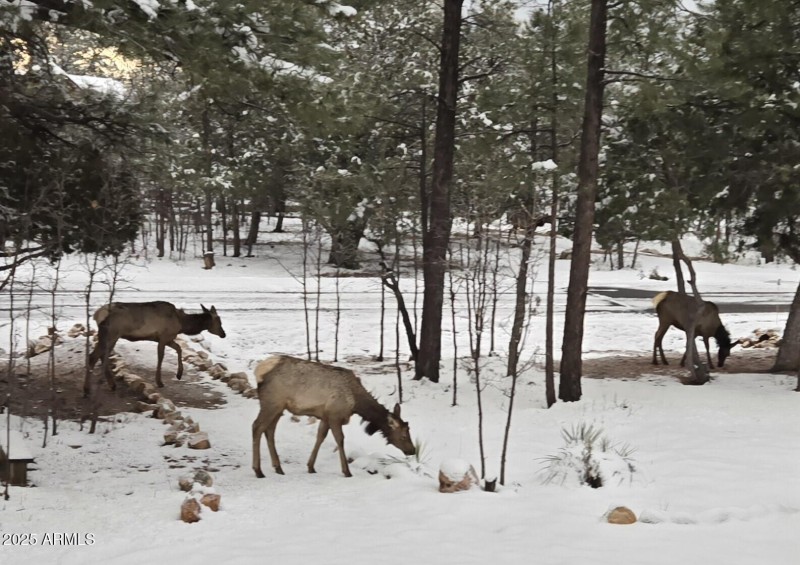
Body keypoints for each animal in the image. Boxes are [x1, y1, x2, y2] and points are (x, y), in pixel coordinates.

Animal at [87, 301, 226, 396]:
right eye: (219, 320)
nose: (223, 334)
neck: (182, 324)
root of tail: (97, 315)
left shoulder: (166, 338)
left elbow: (179, 348)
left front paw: (179, 374)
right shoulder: (164, 337)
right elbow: (161, 356)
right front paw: (159, 381)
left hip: (108, 335)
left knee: (98, 355)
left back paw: (103, 385)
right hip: (112, 334)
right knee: (94, 356)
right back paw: (93, 388)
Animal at [252, 355, 416, 478]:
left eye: (409, 431)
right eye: (403, 436)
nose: (413, 450)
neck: (356, 403)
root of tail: (258, 371)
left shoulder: (325, 416)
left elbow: (320, 437)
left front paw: (311, 466)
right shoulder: (335, 415)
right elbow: (340, 440)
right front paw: (346, 471)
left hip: (278, 407)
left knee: (269, 430)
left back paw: (278, 467)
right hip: (272, 402)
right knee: (257, 427)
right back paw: (258, 470)